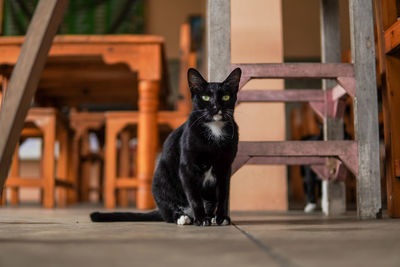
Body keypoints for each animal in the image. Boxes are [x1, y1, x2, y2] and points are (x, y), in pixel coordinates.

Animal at [90, 68, 241, 227]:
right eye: (205, 97)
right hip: (160, 179)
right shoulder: (187, 168)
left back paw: (209, 216)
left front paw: (221, 218)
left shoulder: (225, 167)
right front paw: (201, 219)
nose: (216, 107)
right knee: (168, 213)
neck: (215, 129)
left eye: (225, 97)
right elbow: (194, 197)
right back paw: (183, 217)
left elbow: (224, 194)